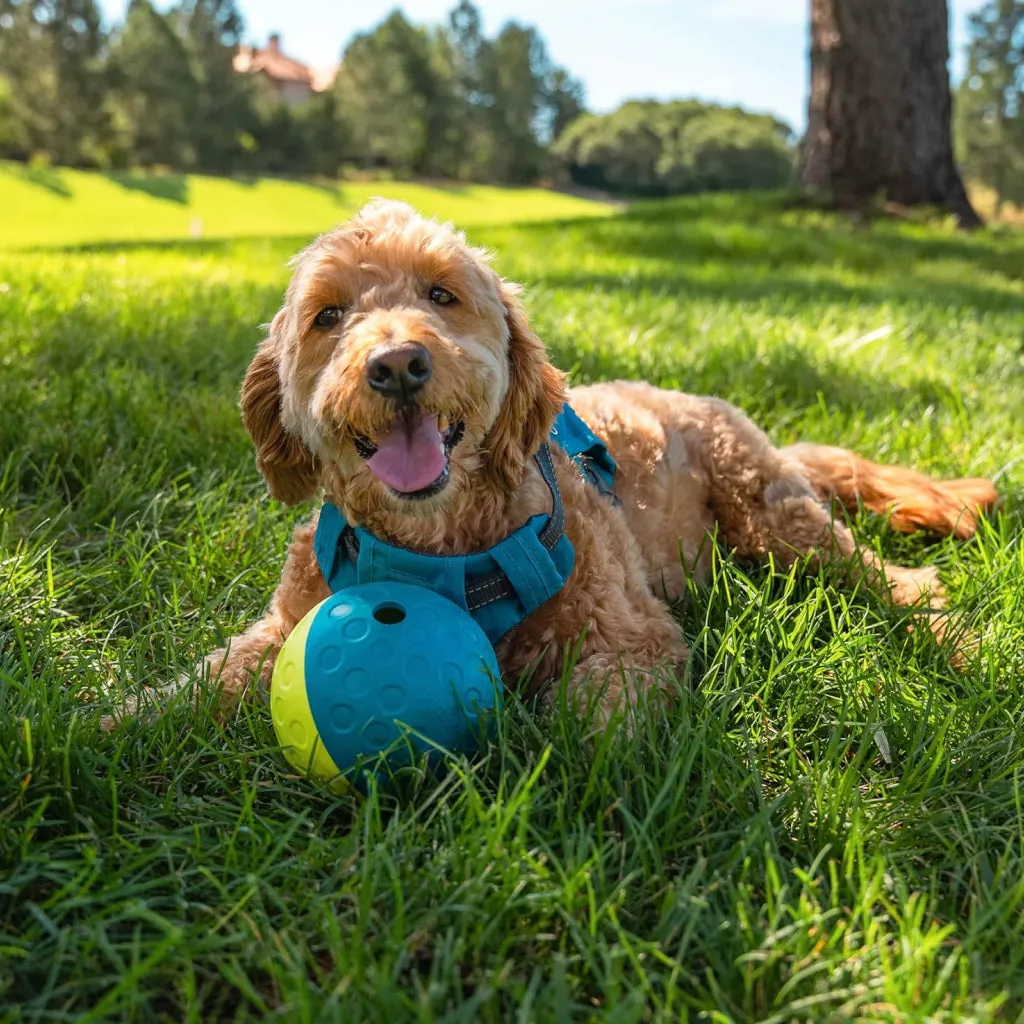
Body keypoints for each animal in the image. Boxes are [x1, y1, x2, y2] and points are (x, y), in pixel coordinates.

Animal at [103, 199, 999, 729]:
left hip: (773, 517)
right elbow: (201, 684)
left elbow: (592, 726)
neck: (437, 550)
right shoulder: (281, 626)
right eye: (329, 315)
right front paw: (100, 731)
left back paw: (954, 638)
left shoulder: (631, 636)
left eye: (441, 295)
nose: (396, 365)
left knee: (885, 579)